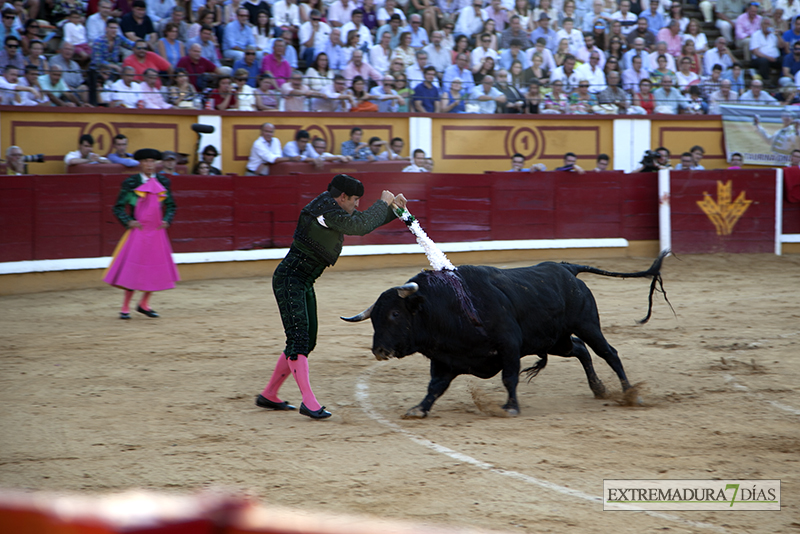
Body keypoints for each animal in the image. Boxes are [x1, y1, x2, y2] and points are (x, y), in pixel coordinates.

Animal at [342, 253, 668, 420]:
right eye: (374, 318)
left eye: (395, 314)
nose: (379, 350)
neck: (445, 306)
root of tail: (567, 268)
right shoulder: (445, 358)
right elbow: (435, 386)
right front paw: (418, 409)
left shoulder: (509, 345)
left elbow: (509, 377)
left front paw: (510, 407)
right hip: (555, 340)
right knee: (580, 350)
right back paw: (599, 389)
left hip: (587, 323)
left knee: (608, 352)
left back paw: (629, 393)